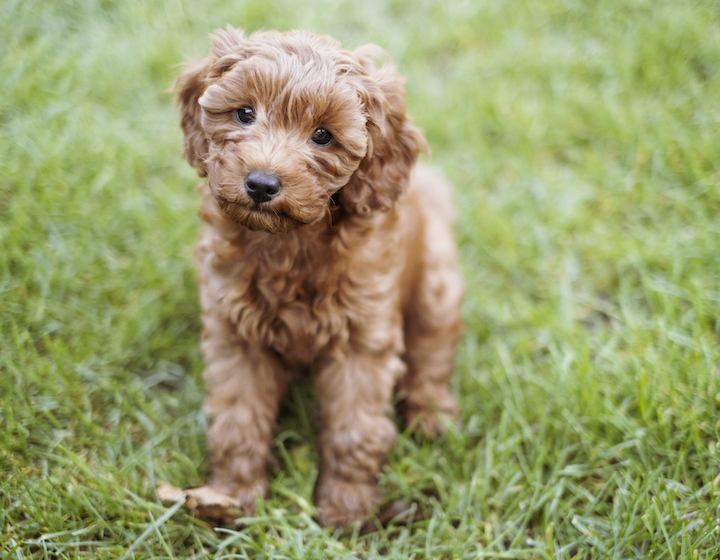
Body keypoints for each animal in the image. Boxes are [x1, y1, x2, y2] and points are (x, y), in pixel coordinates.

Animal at [177, 25, 464, 524]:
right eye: (244, 113)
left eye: (323, 136)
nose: (261, 183)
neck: (288, 244)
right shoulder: (236, 336)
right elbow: (237, 420)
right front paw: (231, 497)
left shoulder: (361, 343)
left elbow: (355, 427)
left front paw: (347, 508)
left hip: (437, 286)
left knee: (431, 356)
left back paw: (432, 418)